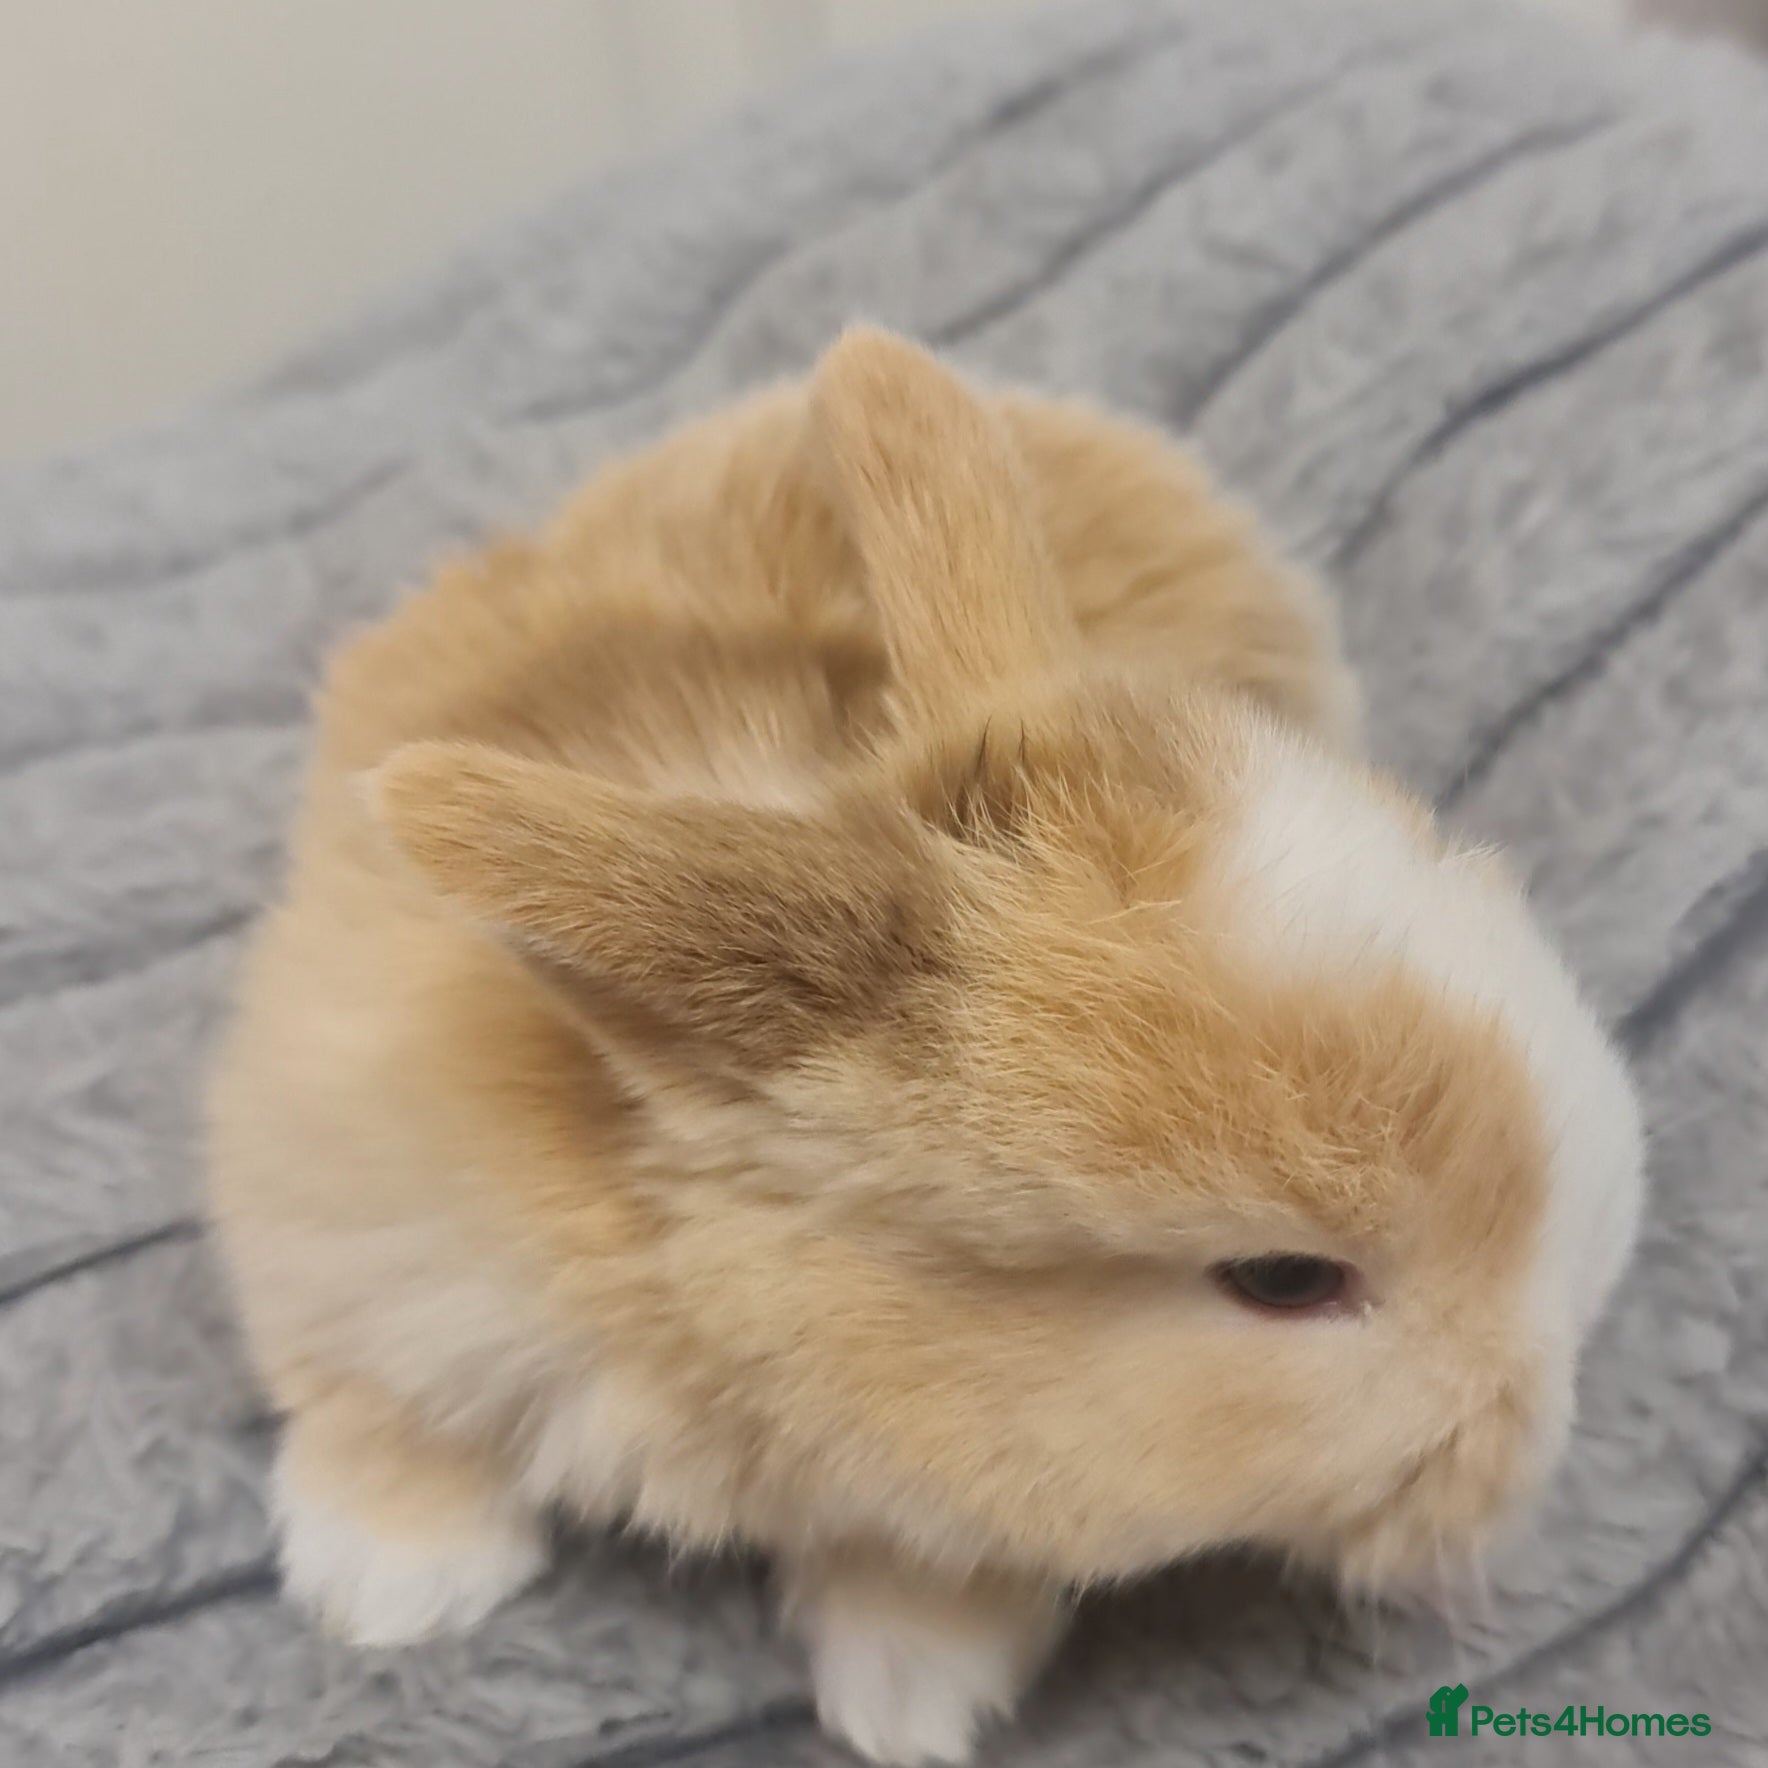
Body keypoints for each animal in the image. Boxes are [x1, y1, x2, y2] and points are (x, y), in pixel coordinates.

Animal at [206, 327, 1644, 1767]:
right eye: (1285, 1279)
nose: (1544, 1431)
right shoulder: (348, 1220)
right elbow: (371, 1401)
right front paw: (387, 1588)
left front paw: (909, 1704)